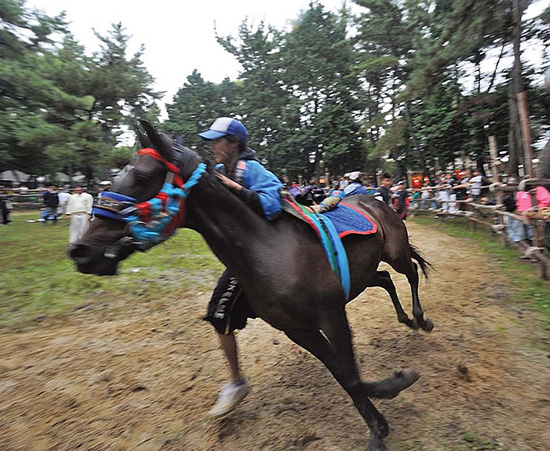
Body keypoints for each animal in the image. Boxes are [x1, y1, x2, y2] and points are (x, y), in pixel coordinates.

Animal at [71, 121, 436, 451]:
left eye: (143, 177)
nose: (81, 250)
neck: (268, 249)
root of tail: (375, 199)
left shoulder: (332, 315)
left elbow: (350, 373)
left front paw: (381, 416)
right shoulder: (297, 328)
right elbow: (343, 374)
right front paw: (384, 403)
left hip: (395, 253)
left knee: (411, 273)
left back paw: (420, 317)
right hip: (364, 275)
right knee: (385, 279)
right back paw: (405, 318)